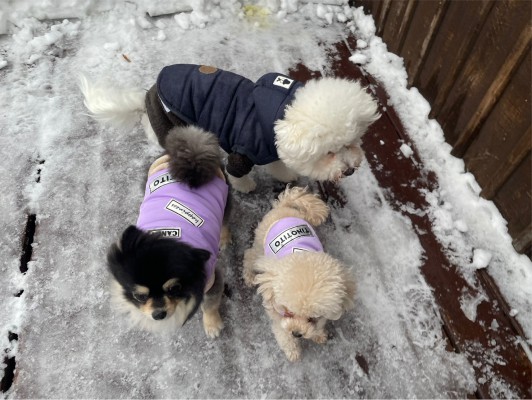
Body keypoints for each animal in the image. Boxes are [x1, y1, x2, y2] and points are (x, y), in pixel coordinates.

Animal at [79, 63, 380, 193]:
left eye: (351, 143)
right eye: (329, 152)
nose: (350, 170)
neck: (280, 112)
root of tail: (146, 96)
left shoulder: (272, 147)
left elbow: (279, 165)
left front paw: (286, 174)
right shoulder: (243, 152)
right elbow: (238, 175)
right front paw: (246, 187)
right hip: (170, 122)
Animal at [107, 126, 231, 338]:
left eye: (174, 288)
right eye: (139, 296)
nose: (158, 315)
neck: (166, 235)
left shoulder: (212, 280)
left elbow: (209, 306)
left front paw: (212, 326)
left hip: (225, 201)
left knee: (225, 221)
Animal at [243, 186, 356, 360]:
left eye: (313, 318)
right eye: (289, 312)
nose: (296, 333)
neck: (303, 254)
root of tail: (284, 205)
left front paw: (317, 334)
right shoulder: (276, 310)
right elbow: (282, 332)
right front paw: (292, 350)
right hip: (259, 245)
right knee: (249, 256)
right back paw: (249, 275)